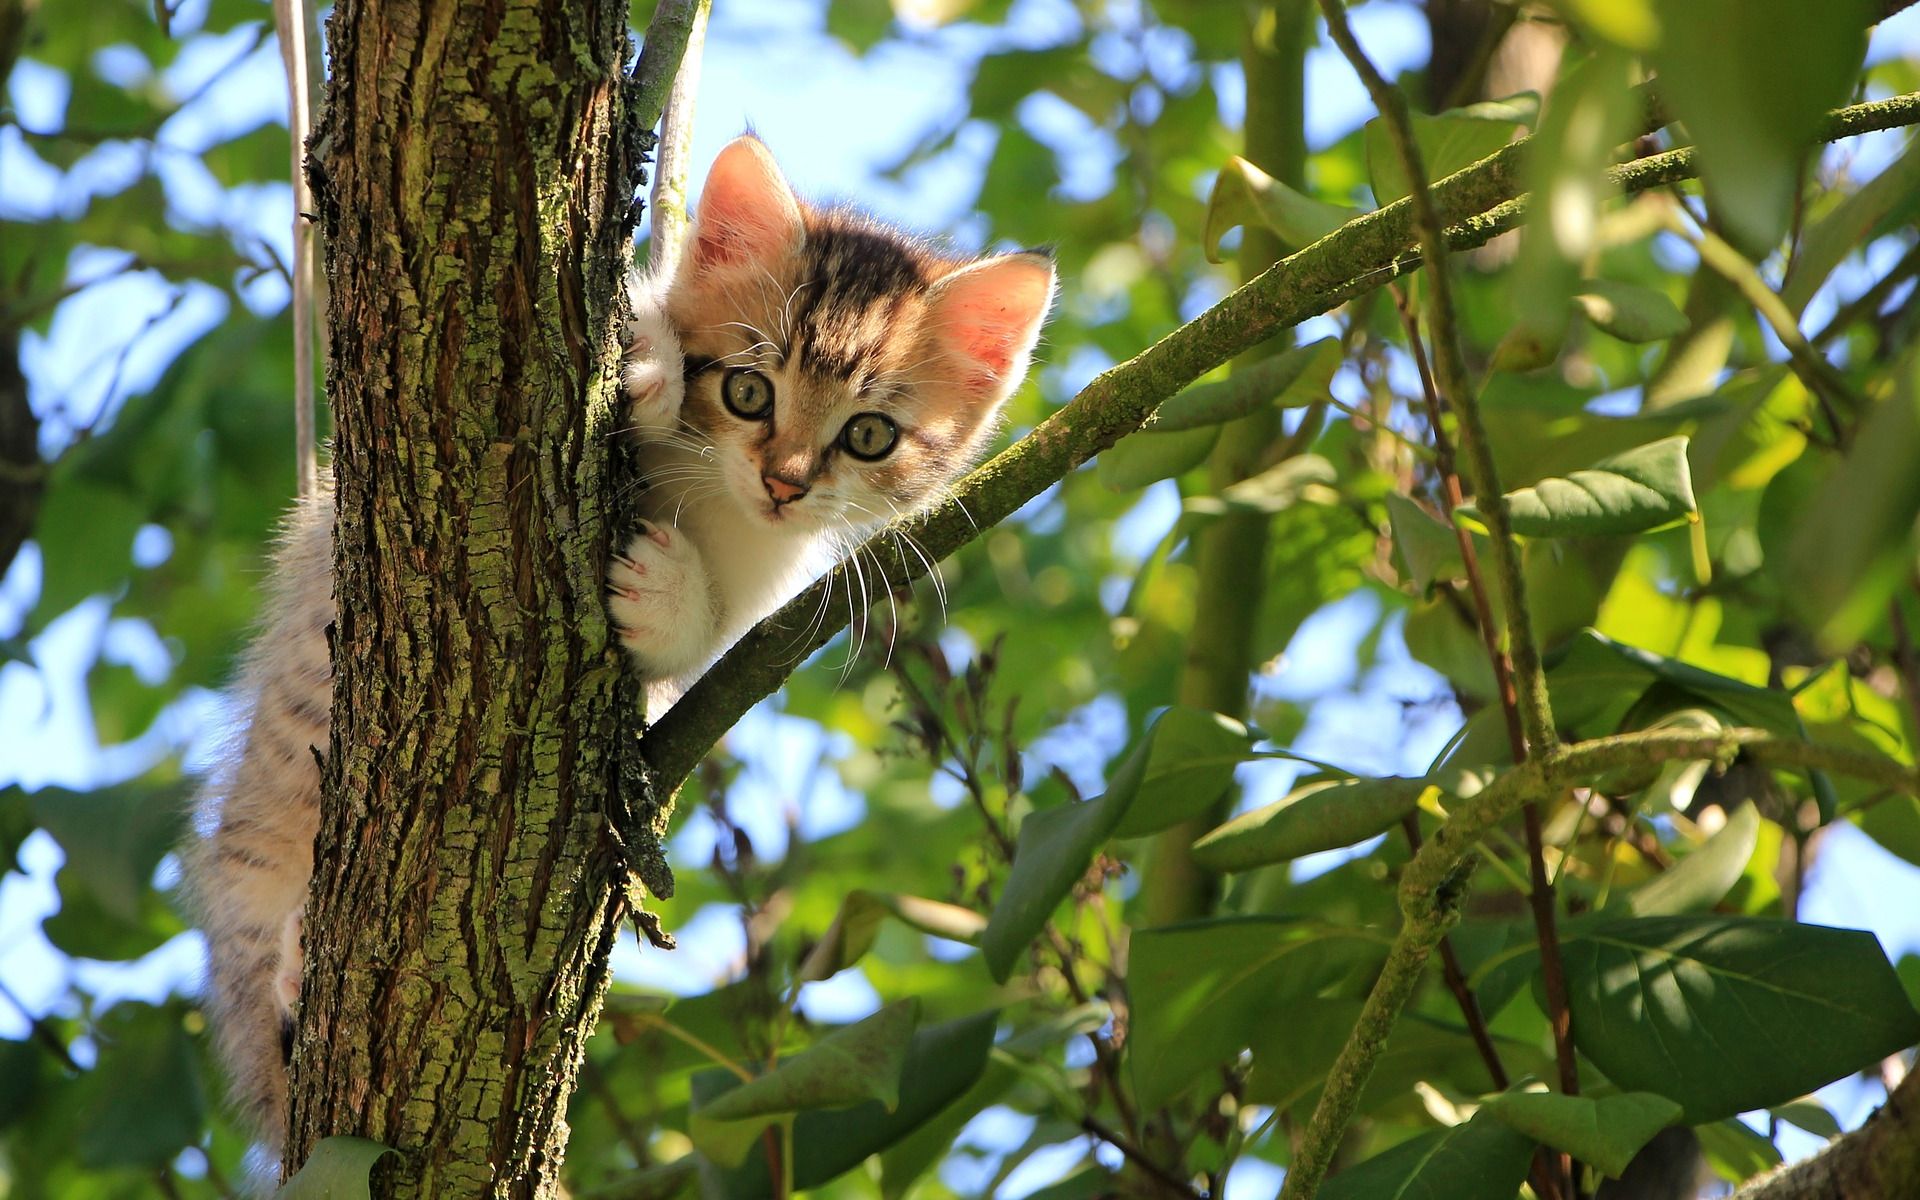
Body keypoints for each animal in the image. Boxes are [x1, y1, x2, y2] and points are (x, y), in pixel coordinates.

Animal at [187, 133, 1059, 1152]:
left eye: (870, 435)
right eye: (749, 389)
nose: (785, 481)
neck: (712, 494)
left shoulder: (760, 590)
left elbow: (700, 644)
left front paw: (665, 594)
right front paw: (647, 367)